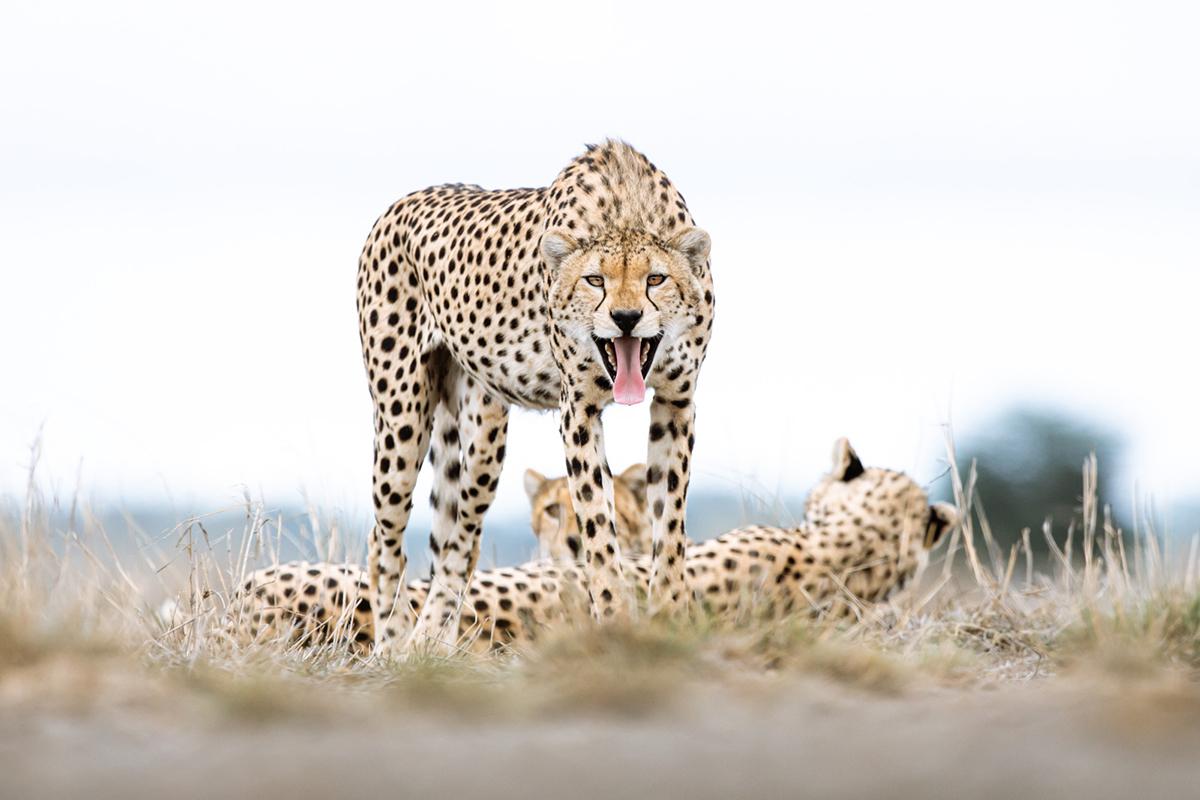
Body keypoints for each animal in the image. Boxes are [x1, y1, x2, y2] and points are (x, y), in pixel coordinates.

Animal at [355, 137, 710, 652]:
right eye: (595, 280)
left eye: (656, 279)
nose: (625, 318)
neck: (626, 212)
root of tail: (405, 201)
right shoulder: (578, 409)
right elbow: (598, 529)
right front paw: (615, 617)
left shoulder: (676, 404)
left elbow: (669, 523)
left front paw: (670, 616)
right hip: (401, 418)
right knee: (384, 538)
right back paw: (394, 642)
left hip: (481, 439)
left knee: (457, 540)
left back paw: (431, 643)